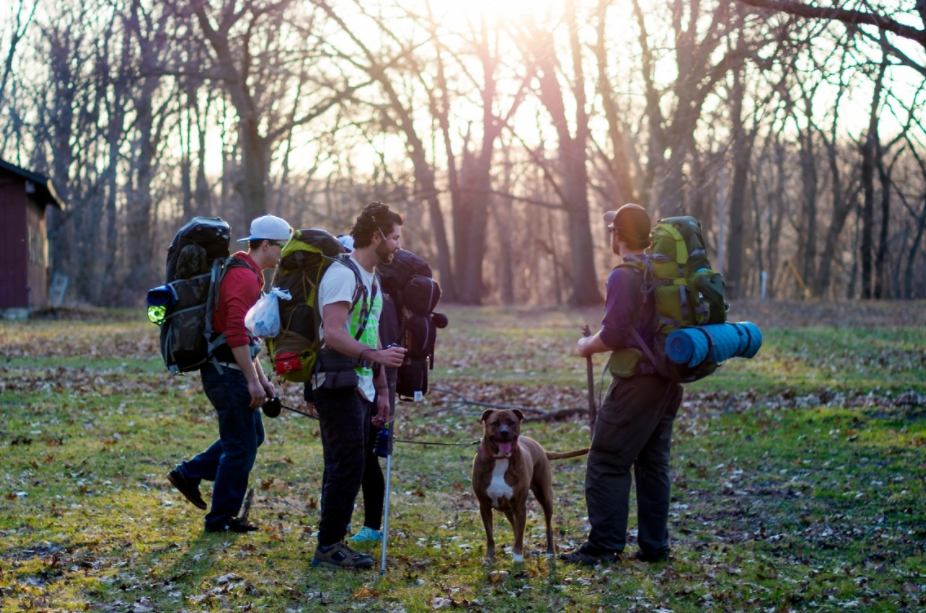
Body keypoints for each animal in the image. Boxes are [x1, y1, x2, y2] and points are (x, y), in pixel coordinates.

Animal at [474, 408, 592, 560]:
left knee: (548, 526)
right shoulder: (484, 505)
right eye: (495, 423)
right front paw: (489, 556)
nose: (504, 432)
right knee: (514, 525)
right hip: (508, 508)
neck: (500, 458)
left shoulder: (520, 505)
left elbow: (519, 533)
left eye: (511, 422)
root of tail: (539, 446)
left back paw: (550, 552)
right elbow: (490, 535)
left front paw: (518, 558)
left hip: (545, 496)